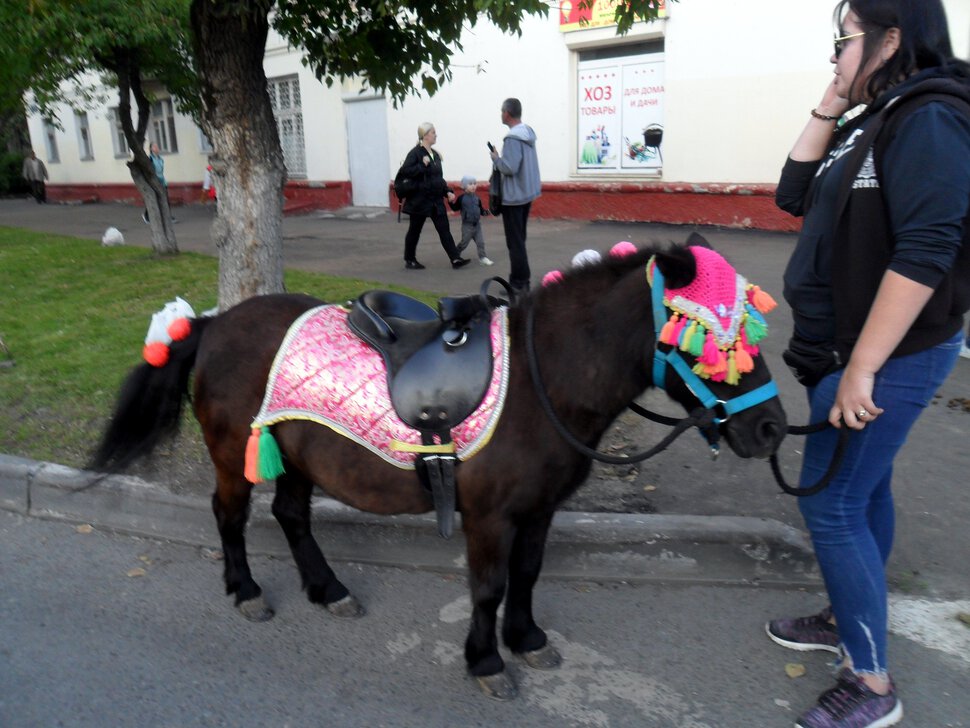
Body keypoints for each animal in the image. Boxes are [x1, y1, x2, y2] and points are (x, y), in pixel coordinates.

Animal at [91, 239, 788, 700]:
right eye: (716, 342)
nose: (772, 428)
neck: (541, 380)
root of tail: (212, 324)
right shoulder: (489, 515)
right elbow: (488, 586)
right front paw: (486, 662)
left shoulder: (540, 509)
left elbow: (527, 575)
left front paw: (526, 640)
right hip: (235, 454)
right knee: (230, 517)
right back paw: (246, 591)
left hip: (296, 457)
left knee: (290, 516)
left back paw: (328, 590)